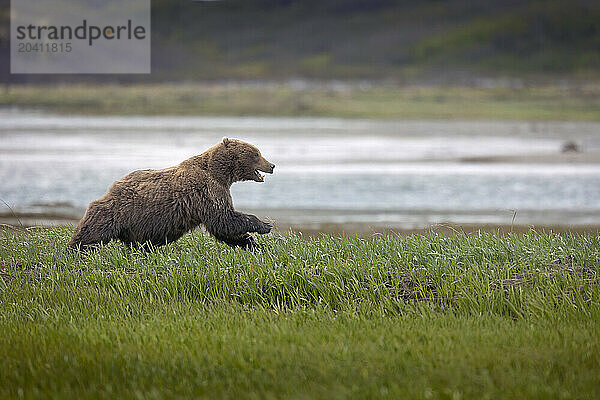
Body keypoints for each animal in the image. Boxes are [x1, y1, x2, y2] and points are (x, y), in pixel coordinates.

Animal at [68, 138, 276, 250]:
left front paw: (254, 244)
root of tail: (114, 185)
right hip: (120, 210)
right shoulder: (207, 190)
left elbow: (225, 228)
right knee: (94, 230)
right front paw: (264, 225)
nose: (272, 165)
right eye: (256, 153)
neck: (221, 173)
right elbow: (223, 219)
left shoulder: (217, 190)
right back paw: (76, 247)